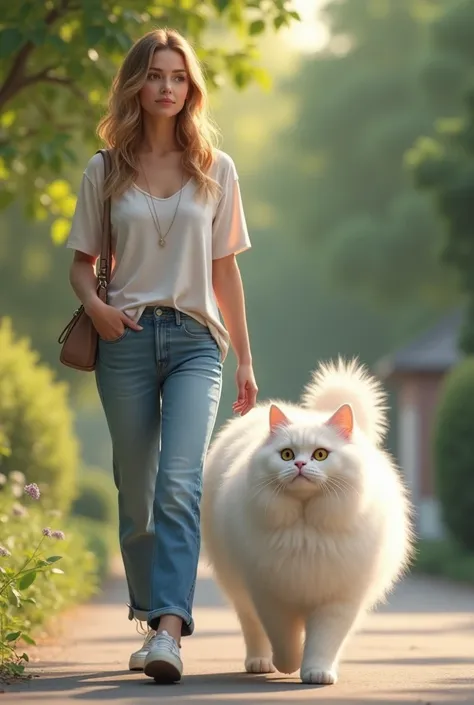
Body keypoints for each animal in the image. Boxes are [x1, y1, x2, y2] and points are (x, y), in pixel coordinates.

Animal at [202, 358, 412, 680]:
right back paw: (259, 662)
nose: (300, 464)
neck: (305, 527)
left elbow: (324, 641)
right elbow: (283, 639)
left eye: (321, 454)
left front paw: (317, 672)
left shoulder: (337, 600)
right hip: (239, 588)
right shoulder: (271, 596)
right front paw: (288, 664)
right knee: (252, 628)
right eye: (287, 454)